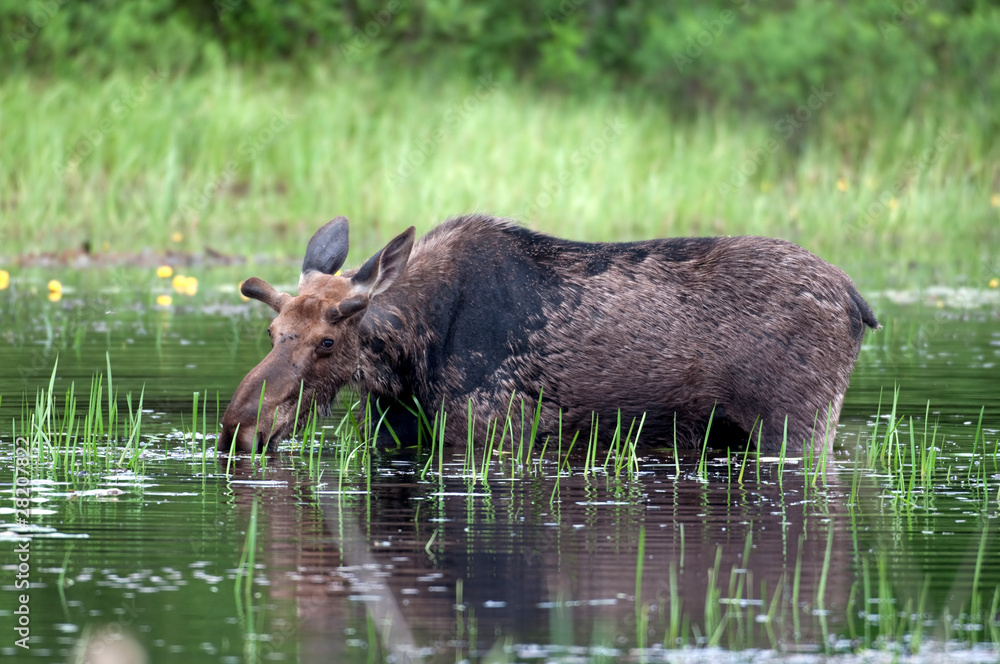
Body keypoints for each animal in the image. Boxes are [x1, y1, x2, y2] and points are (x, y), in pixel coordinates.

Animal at [219, 215, 876, 454]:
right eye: (273, 330)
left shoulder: (493, 430)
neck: (407, 357)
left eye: (327, 342)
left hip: (799, 427)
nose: (238, 427)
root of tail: (858, 304)